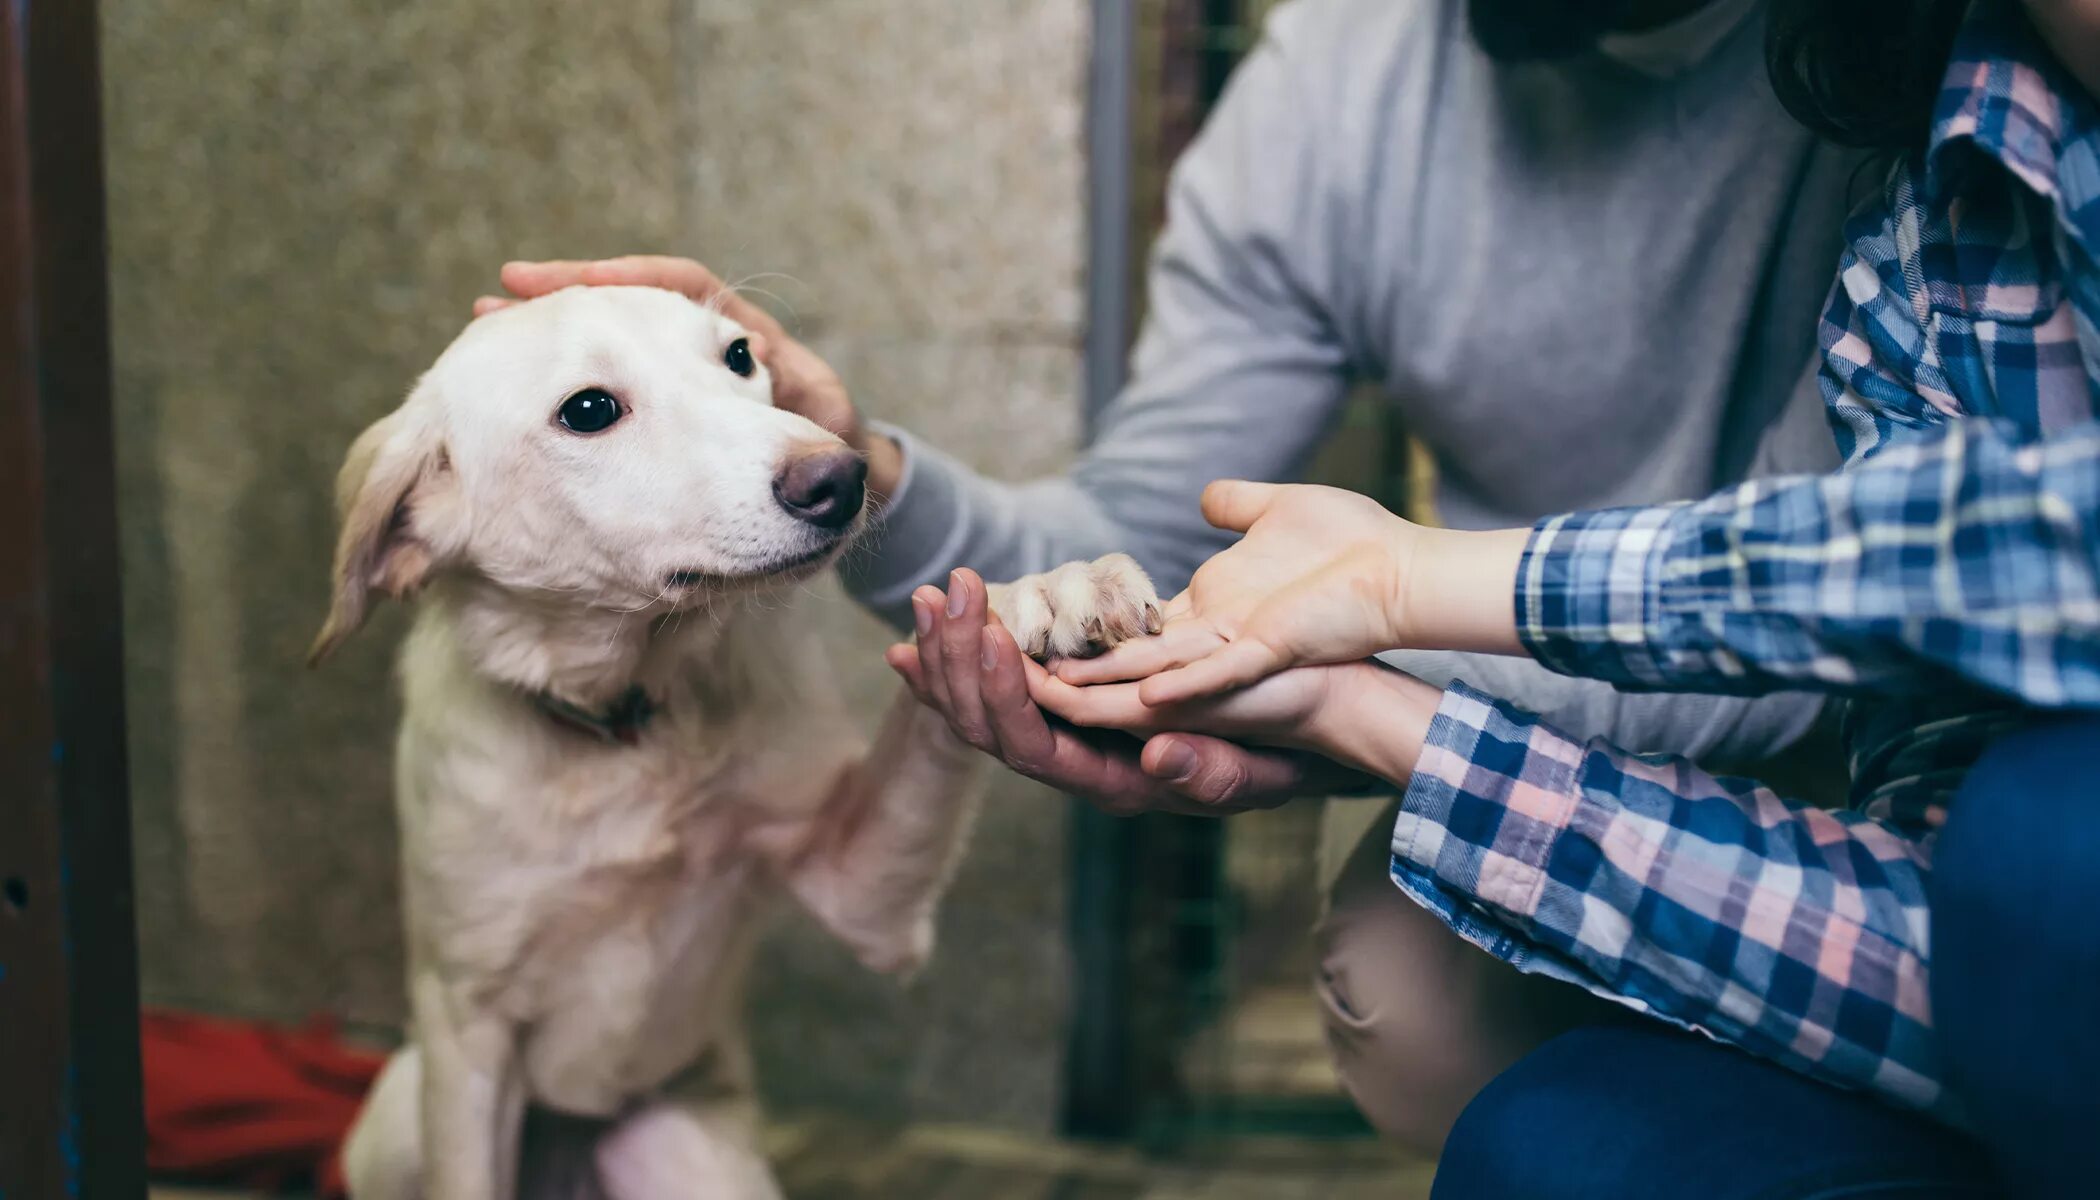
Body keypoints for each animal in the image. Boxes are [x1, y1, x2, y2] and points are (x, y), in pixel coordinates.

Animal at [312, 285, 1167, 1193]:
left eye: (740, 356)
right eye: (589, 410)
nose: (842, 476)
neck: (629, 724)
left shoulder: (863, 892)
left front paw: (1042, 591)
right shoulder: (467, 1031)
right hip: (405, 1115)